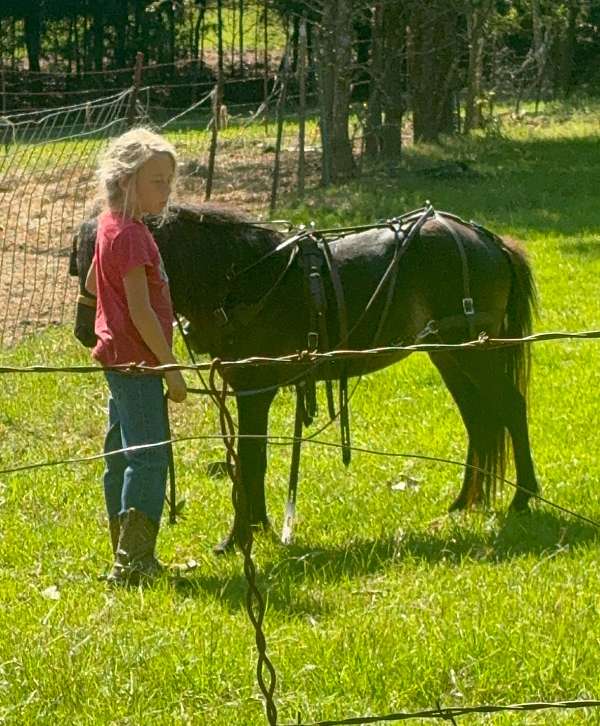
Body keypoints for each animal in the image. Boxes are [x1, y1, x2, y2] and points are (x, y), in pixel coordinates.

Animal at [73, 202, 539, 553]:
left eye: (96, 264)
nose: (84, 333)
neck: (242, 277)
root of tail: (489, 240)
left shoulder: (254, 389)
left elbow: (251, 461)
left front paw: (239, 536)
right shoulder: (252, 390)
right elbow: (253, 459)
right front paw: (256, 526)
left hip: (470, 352)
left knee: (510, 408)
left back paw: (523, 497)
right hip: (450, 354)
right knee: (479, 419)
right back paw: (465, 502)